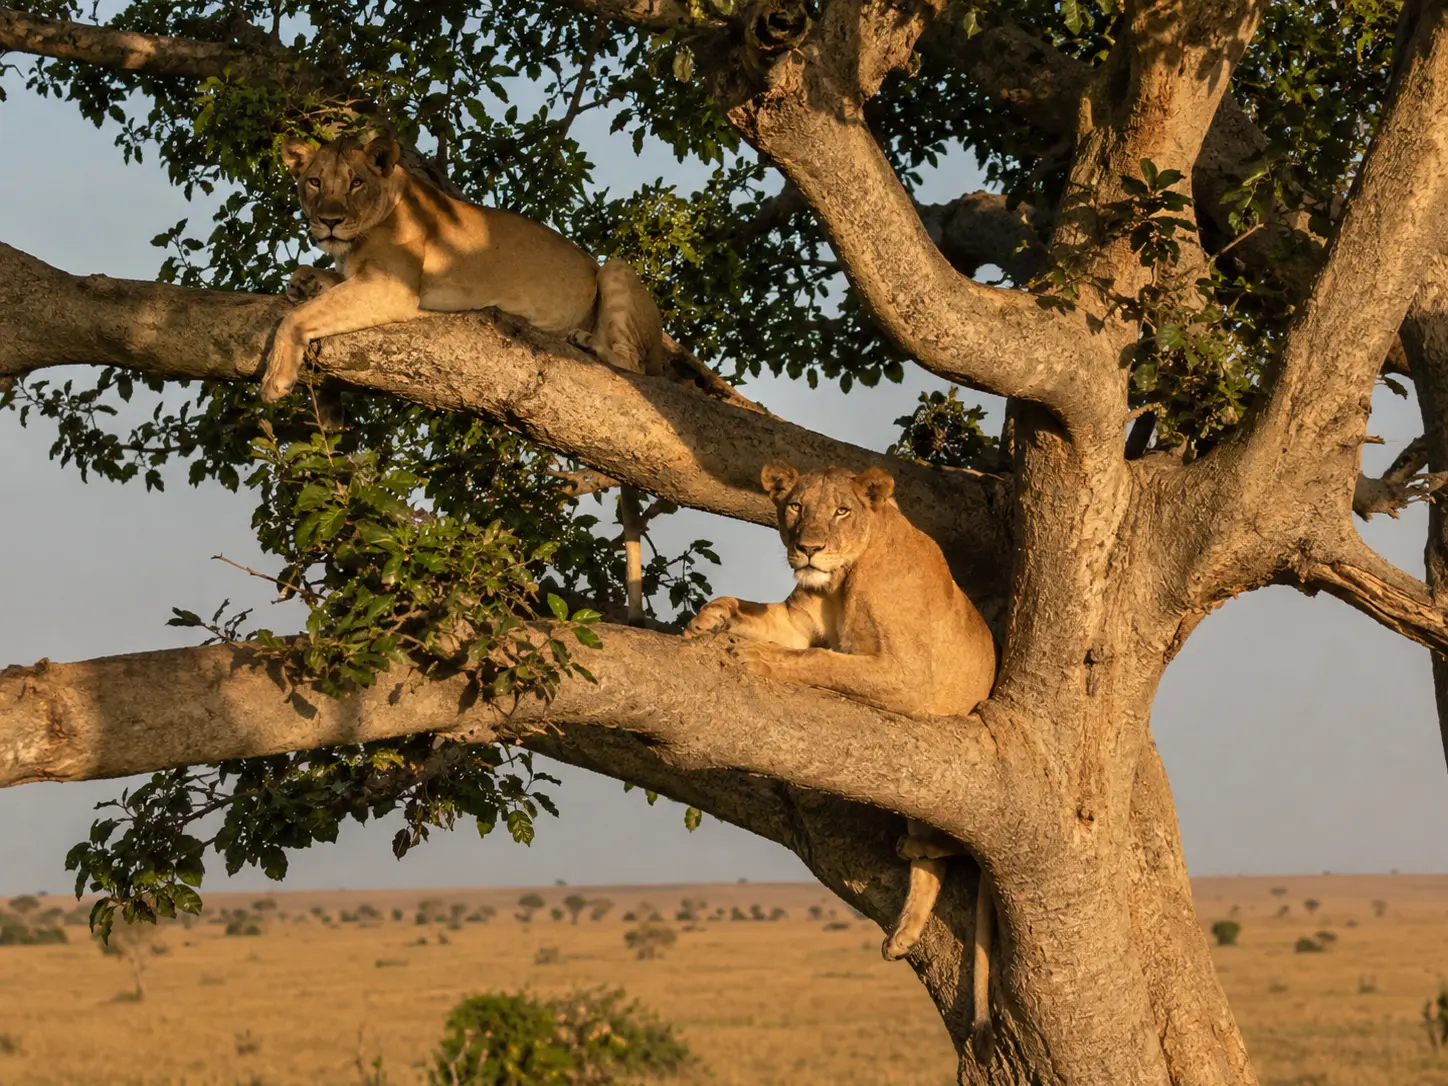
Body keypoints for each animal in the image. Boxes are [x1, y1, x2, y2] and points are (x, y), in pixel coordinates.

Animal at [268, 133, 665, 624]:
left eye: (356, 182)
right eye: (315, 182)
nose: (329, 220)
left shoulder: (392, 288)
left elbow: (299, 318)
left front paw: (277, 376)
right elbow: (318, 283)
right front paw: (304, 280)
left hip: (616, 269)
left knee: (628, 363)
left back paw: (586, 340)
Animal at [684, 461, 999, 1058]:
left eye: (842, 511)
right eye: (796, 507)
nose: (807, 549)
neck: (841, 579)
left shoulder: (904, 673)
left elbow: (820, 660)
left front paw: (753, 656)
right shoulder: (796, 619)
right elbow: (752, 611)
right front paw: (708, 619)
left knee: (949, 848)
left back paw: (914, 848)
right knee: (933, 864)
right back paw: (903, 931)